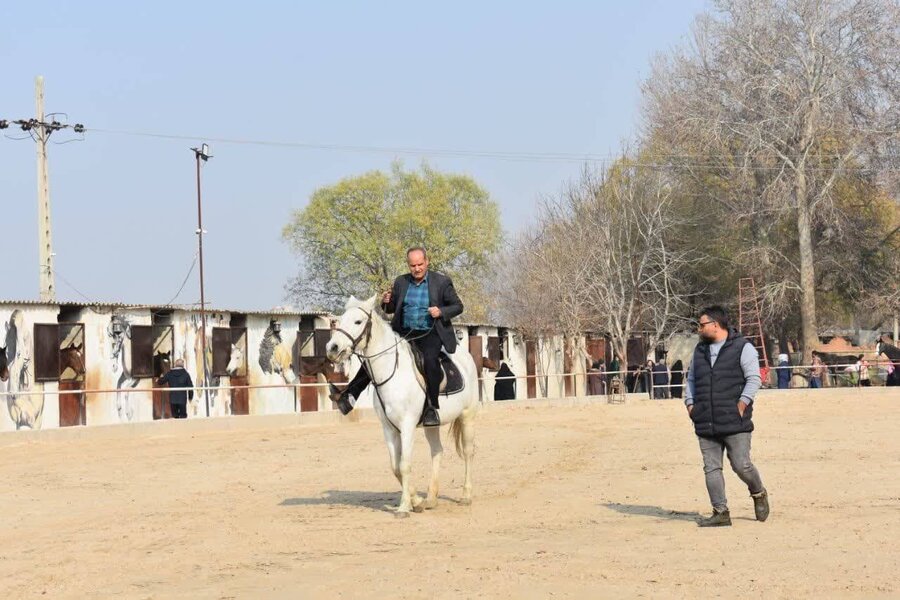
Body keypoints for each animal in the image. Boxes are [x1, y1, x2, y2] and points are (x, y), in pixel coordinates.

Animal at [326, 294, 478, 516]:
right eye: (340, 320)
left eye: (358, 322)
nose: (332, 348)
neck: (392, 373)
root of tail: (465, 358)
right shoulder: (389, 428)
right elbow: (395, 466)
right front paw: (416, 501)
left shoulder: (407, 426)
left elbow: (405, 465)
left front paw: (404, 507)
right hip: (432, 425)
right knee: (437, 452)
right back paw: (431, 499)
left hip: (467, 416)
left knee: (468, 452)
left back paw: (466, 496)